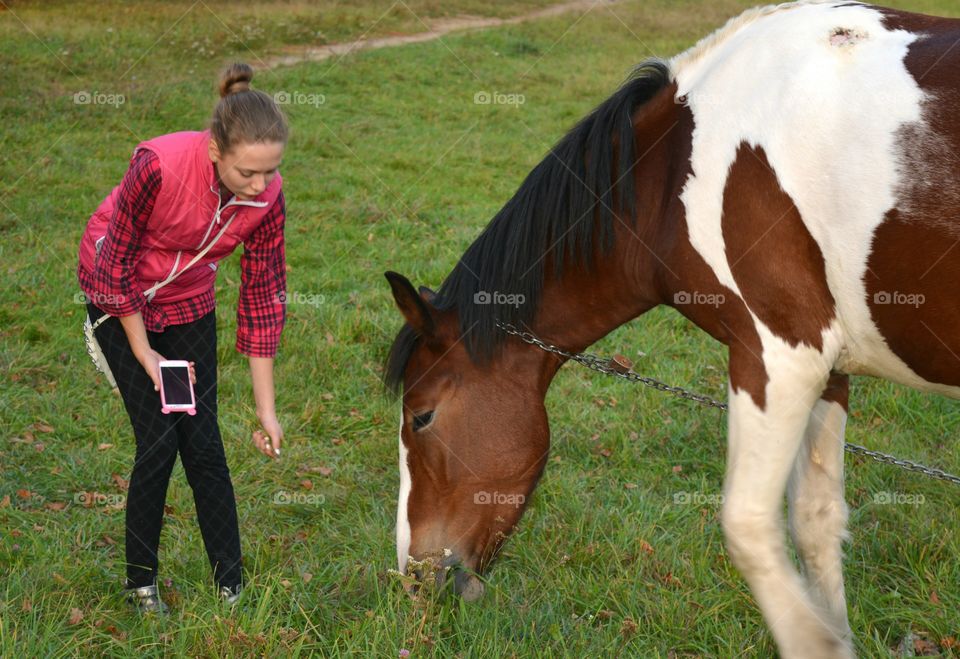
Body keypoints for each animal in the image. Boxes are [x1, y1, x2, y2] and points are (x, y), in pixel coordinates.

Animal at [382, 2, 960, 656]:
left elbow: (748, 527)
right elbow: (817, 526)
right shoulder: (828, 371)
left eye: (421, 417)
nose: (413, 576)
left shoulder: (779, 357)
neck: (671, 172)